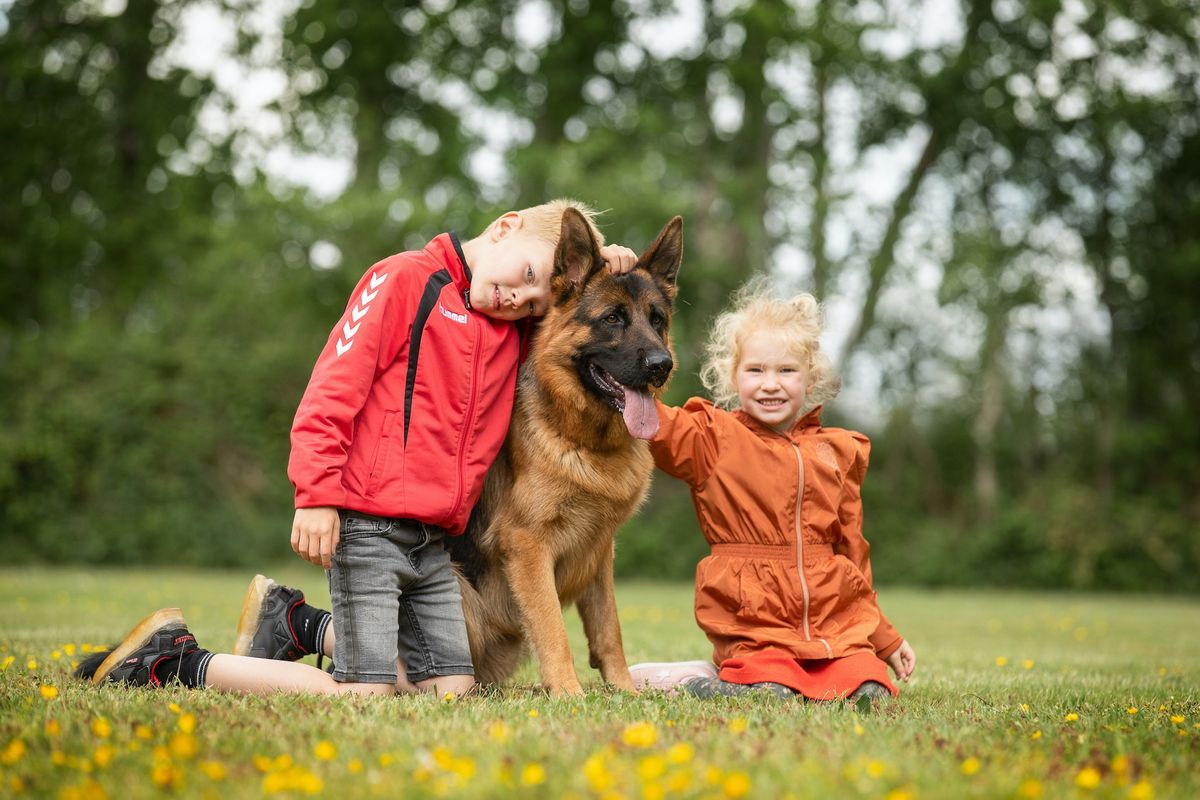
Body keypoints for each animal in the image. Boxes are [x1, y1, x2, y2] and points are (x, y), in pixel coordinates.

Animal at [446, 209, 681, 695]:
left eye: (657, 320)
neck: (587, 442)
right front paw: (570, 694)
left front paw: (624, 690)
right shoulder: (528, 547)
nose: (661, 365)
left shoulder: (600, 551)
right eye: (612, 319)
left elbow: (609, 630)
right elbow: (553, 629)